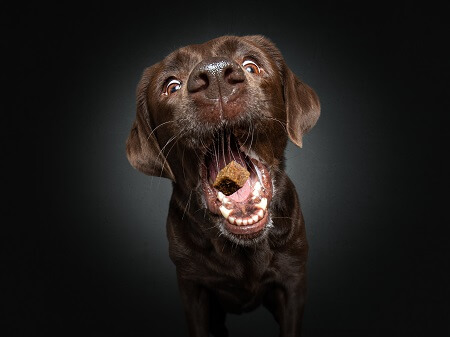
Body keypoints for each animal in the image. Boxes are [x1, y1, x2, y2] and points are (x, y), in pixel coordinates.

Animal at [126, 35, 320, 334]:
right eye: (171, 86)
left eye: (251, 65)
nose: (216, 75)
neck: (244, 250)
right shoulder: (193, 289)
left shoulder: (293, 281)